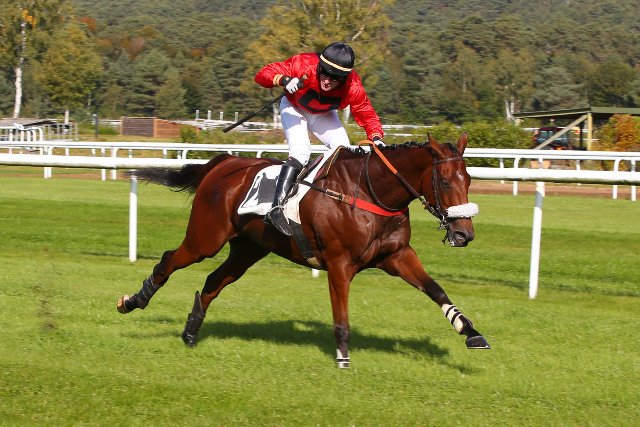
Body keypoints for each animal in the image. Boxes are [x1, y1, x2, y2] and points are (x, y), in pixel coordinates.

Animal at [117, 134, 490, 368]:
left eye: (470, 179)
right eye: (445, 181)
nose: (464, 233)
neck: (370, 192)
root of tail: (224, 163)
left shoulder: (397, 256)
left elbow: (436, 289)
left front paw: (471, 332)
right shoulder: (339, 264)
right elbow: (341, 316)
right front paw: (342, 358)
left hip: (247, 250)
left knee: (213, 281)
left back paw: (191, 332)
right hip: (205, 239)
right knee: (170, 260)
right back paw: (133, 301)